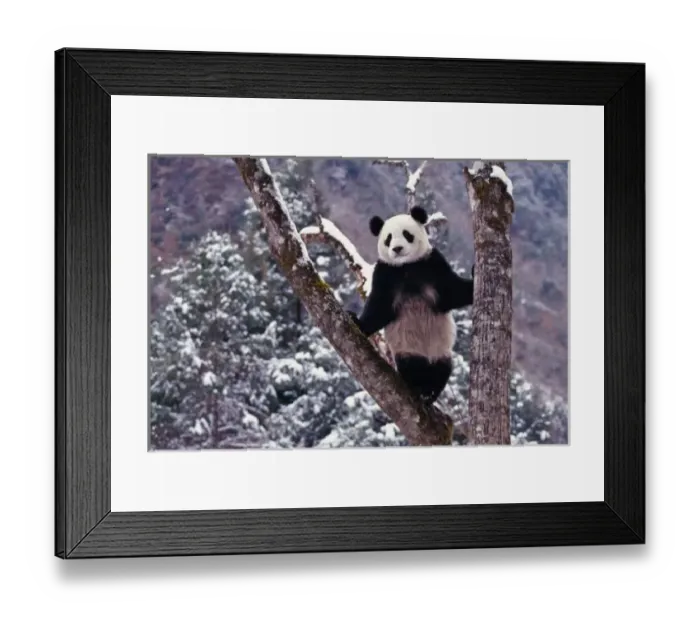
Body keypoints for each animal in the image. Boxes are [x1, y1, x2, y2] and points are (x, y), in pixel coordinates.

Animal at [349, 206, 474, 405]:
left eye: (407, 234)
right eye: (388, 238)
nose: (397, 248)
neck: (406, 266)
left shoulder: (431, 264)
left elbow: (453, 292)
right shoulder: (386, 274)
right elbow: (379, 308)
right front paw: (357, 321)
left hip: (440, 350)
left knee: (443, 369)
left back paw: (429, 392)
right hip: (407, 348)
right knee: (412, 365)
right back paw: (419, 387)